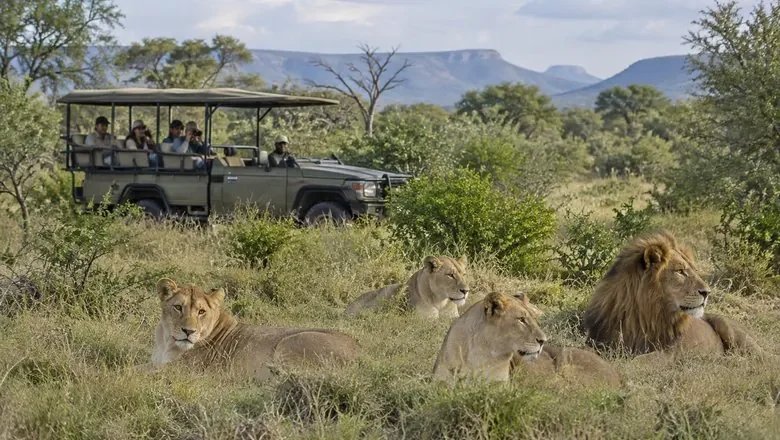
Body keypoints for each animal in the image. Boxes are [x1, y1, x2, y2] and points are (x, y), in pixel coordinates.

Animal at [150, 278, 361, 379]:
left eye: (201, 311)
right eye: (178, 307)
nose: (189, 331)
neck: (166, 342)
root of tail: (361, 354)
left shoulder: (182, 372)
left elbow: (144, 372)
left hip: (289, 343)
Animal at [582, 230, 762, 359]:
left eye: (693, 270)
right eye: (680, 271)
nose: (707, 292)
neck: (643, 312)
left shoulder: (668, 352)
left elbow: (638, 361)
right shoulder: (603, 341)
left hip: (729, 327)